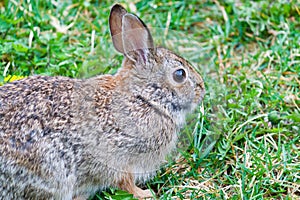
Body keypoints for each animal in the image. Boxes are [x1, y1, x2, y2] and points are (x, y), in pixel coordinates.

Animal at [0, 3, 204, 200]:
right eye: (180, 74)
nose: (202, 89)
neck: (143, 99)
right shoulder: (120, 159)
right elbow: (125, 182)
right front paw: (145, 194)